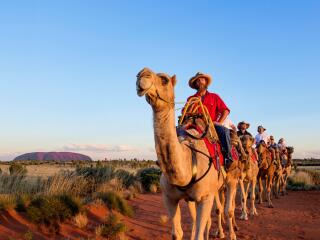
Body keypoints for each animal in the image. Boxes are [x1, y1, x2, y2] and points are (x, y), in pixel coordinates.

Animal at [136, 68, 226, 240]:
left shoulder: (206, 197)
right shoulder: (169, 197)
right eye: (138, 75)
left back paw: (227, 232)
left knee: (223, 208)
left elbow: (199, 232)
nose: (142, 75)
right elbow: (177, 234)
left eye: (164, 80)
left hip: (226, 183)